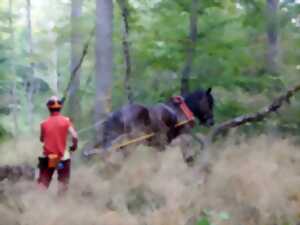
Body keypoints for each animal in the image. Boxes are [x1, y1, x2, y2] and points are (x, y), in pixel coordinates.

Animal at [84, 87, 214, 163]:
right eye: (209, 103)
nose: (211, 122)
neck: (179, 111)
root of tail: (118, 114)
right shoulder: (184, 133)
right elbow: (197, 141)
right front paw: (192, 157)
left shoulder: (162, 143)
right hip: (133, 141)